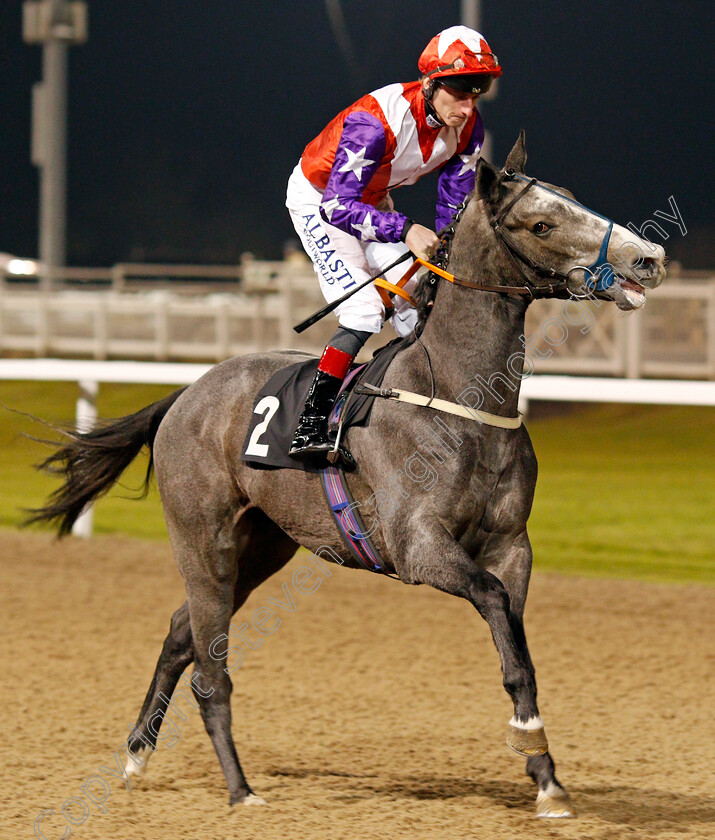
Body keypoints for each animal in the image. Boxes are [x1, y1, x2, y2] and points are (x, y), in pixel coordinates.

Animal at [28, 135, 664, 816]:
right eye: (541, 223)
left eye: (572, 198)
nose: (647, 257)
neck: (462, 401)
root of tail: (186, 393)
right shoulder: (418, 546)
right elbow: (492, 602)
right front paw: (530, 746)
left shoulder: (511, 545)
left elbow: (517, 649)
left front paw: (545, 777)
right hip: (203, 539)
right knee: (210, 667)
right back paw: (240, 790)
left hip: (263, 544)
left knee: (182, 633)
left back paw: (136, 757)